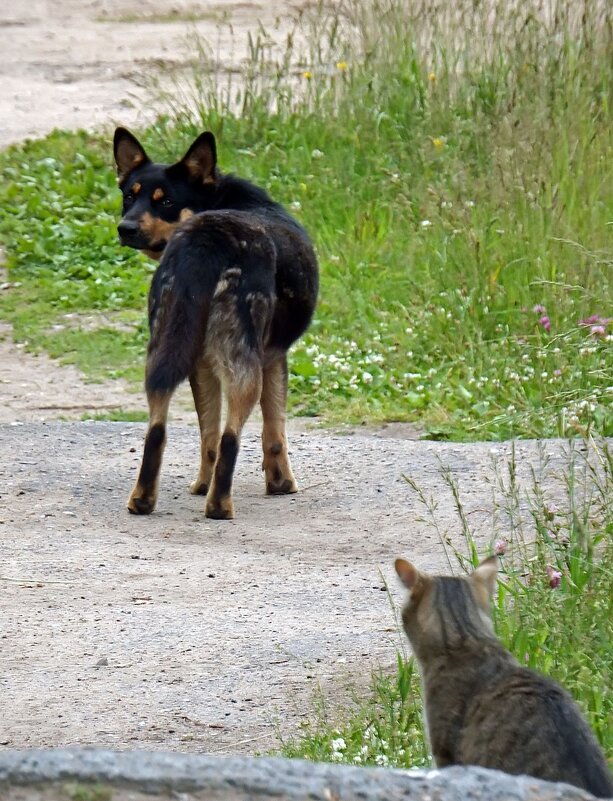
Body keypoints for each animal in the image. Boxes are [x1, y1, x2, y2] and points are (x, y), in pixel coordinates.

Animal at [113, 127, 320, 520]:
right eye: (129, 197)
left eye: (165, 201)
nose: (125, 227)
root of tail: (205, 240)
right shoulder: (274, 358)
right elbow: (274, 432)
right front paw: (281, 483)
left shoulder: (201, 364)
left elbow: (206, 434)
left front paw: (200, 484)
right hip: (244, 364)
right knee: (231, 437)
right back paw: (219, 505)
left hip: (162, 348)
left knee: (159, 429)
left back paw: (144, 499)